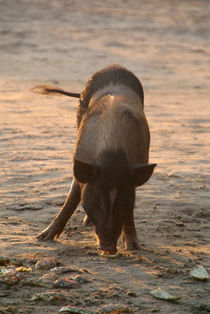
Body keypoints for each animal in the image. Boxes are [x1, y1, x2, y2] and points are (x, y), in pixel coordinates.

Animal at [35, 64, 155, 255]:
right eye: (97, 199)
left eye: (124, 199)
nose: (109, 248)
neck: (112, 153)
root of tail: (114, 66)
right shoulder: (80, 158)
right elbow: (72, 197)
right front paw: (42, 238)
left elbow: (129, 214)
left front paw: (134, 247)